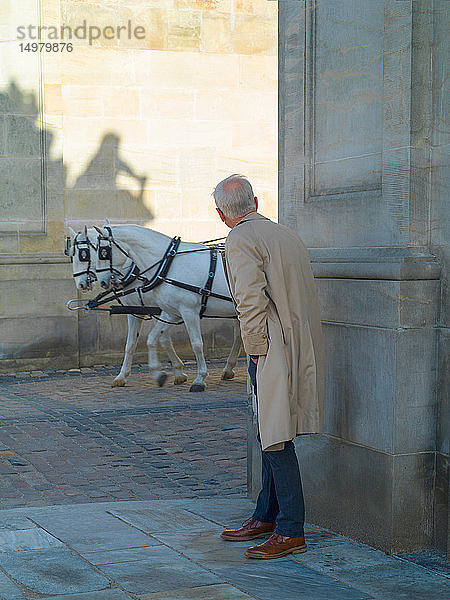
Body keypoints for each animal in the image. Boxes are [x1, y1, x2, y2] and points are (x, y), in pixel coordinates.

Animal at [92, 223, 243, 392]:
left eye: (103, 252)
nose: (102, 282)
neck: (168, 265)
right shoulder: (172, 312)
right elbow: (152, 339)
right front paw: (159, 374)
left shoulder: (189, 311)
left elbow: (196, 344)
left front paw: (199, 378)